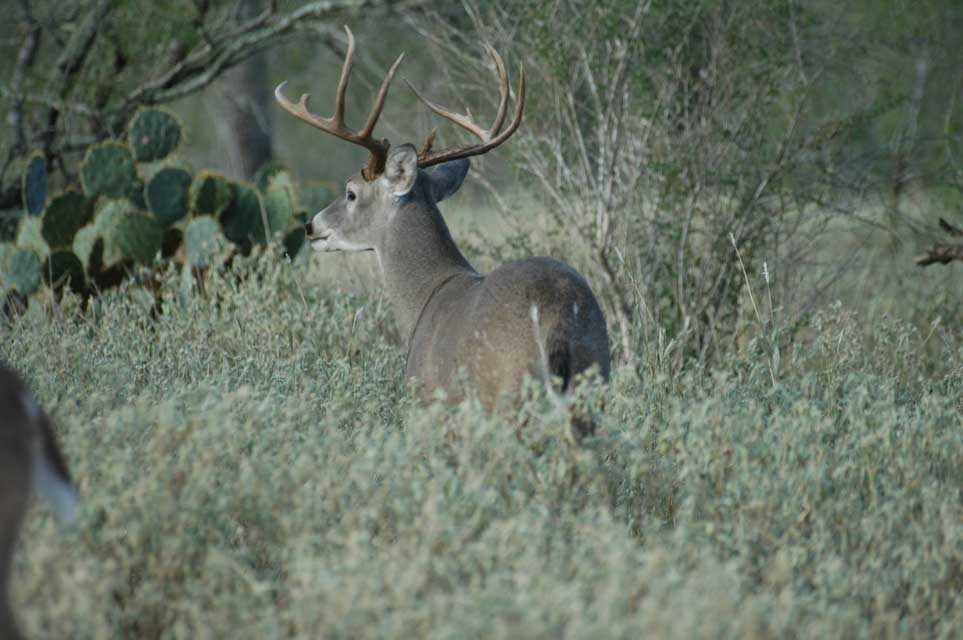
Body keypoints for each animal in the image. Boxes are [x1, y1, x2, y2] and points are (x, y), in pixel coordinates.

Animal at [276, 27, 612, 432]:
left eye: (350, 192)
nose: (312, 225)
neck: (426, 298)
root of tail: (558, 310)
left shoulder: (427, 404)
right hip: (594, 378)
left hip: (507, 392)